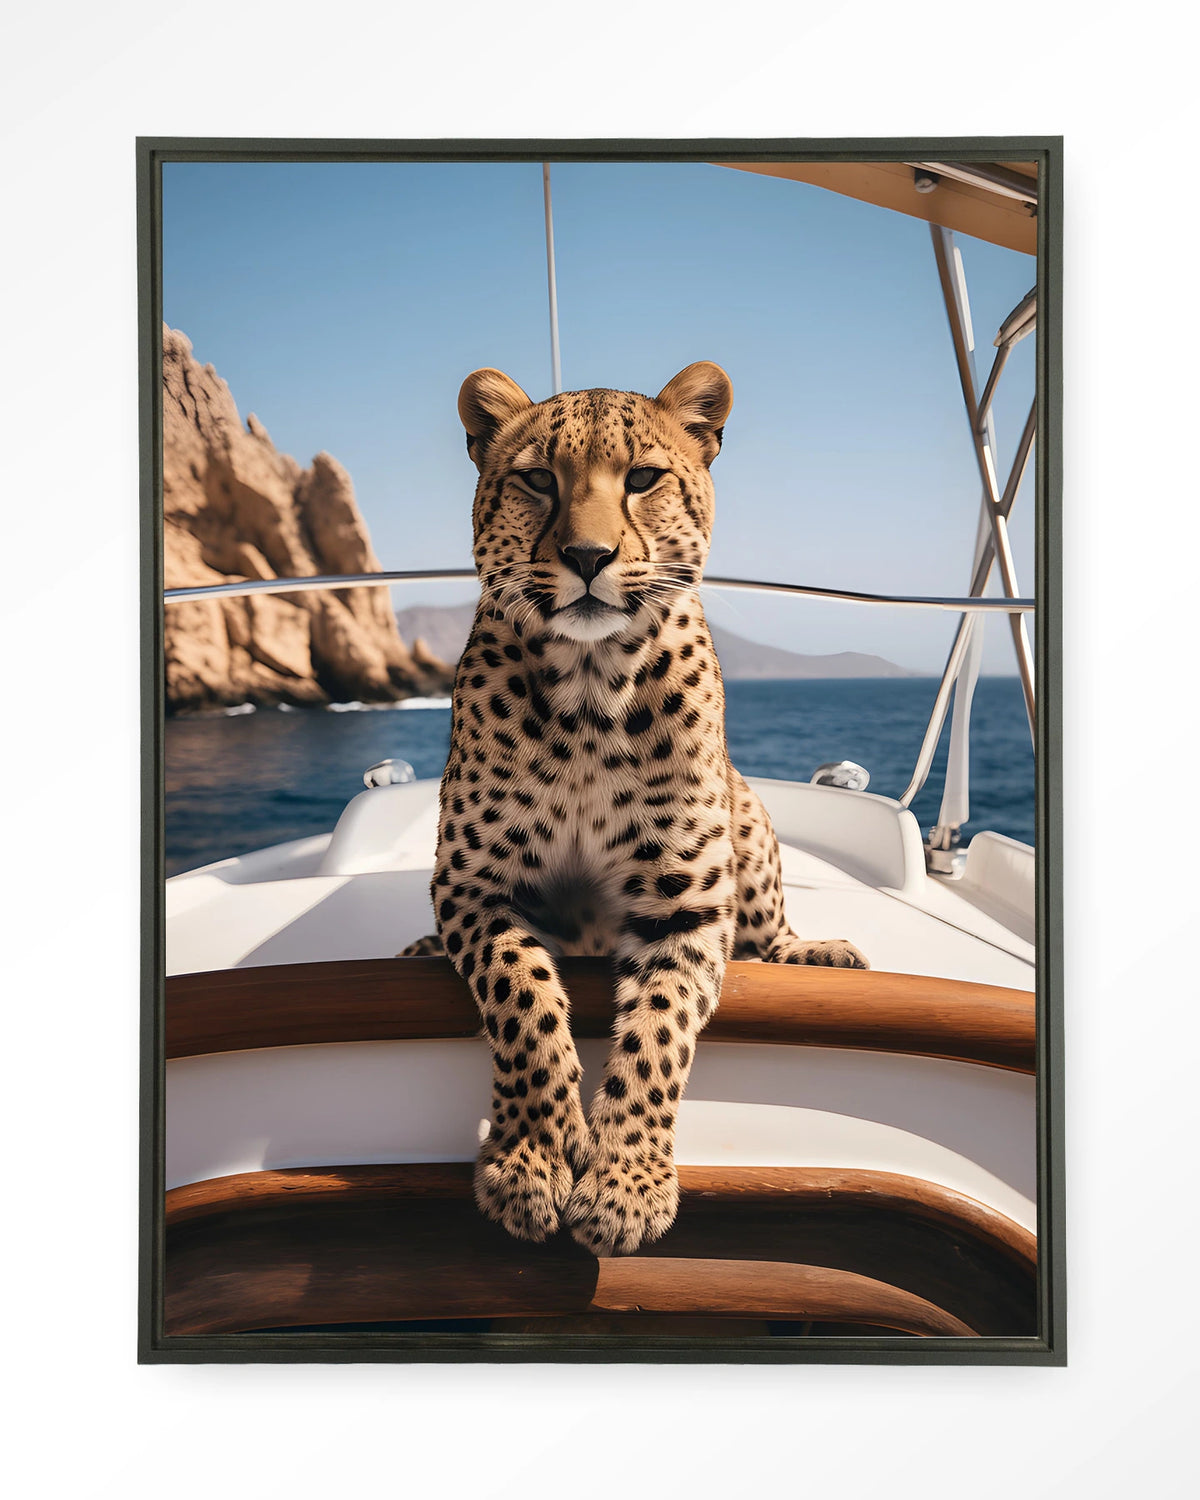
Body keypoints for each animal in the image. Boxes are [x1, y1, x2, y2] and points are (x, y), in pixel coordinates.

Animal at [401, 360, 867, 1257]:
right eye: (538, 480)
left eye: (644, 479)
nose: (588, 556)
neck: (590, 690)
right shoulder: (474, 884)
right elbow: (523, 998)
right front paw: (534, 1158)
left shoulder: (685, 904)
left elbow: (657, 1035)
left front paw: (626, 1186)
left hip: (750, 817)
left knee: (768, 932)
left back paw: (815, 954)